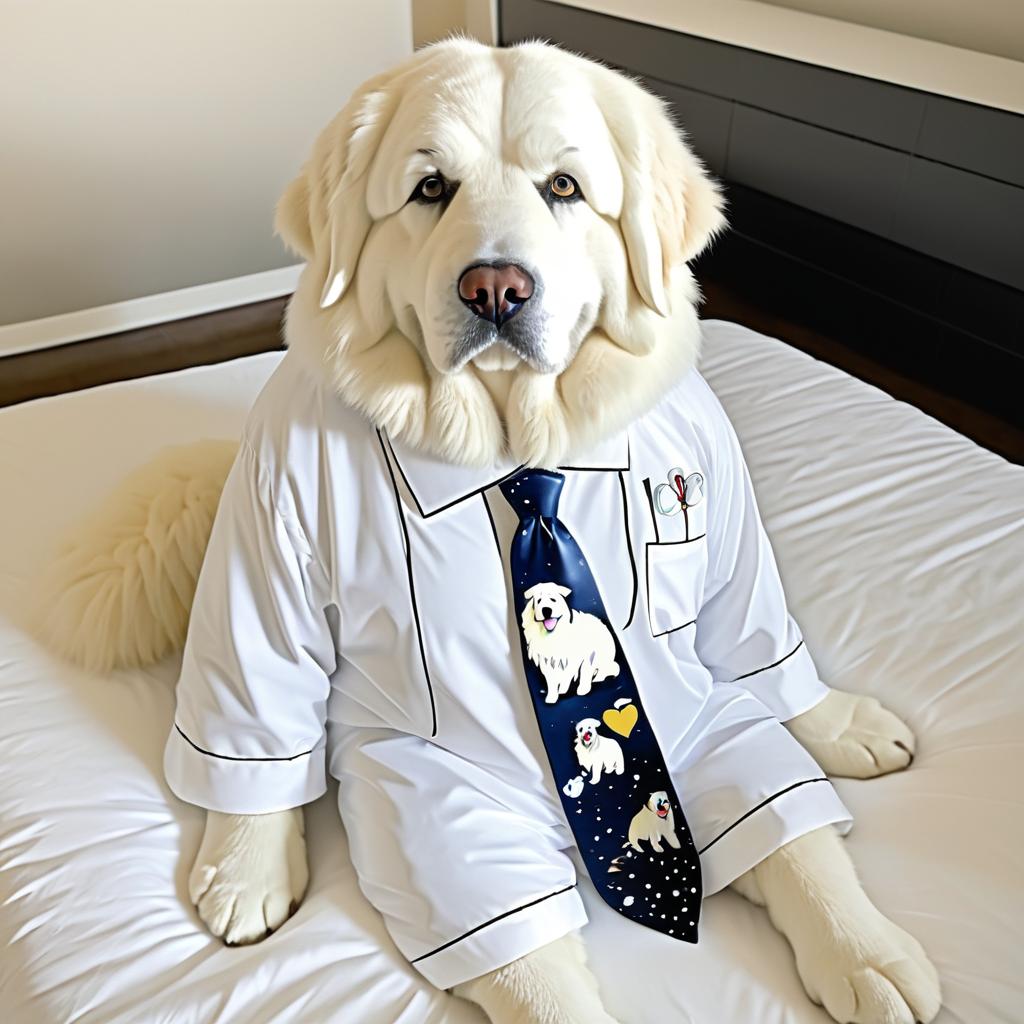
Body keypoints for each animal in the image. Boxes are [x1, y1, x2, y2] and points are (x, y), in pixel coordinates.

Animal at [36, 36, 937, 1024]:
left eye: (565, 188)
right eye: (431, 188)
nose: (496, 288)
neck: (515, 457)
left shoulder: (725, 518)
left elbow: (754, 628)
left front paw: (836, 721)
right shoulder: (270, 528)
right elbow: (262, 698)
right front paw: (246, 866)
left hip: (708, 738)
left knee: (787, 817)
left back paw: (869, 953)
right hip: (448, 831)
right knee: (531, 961)